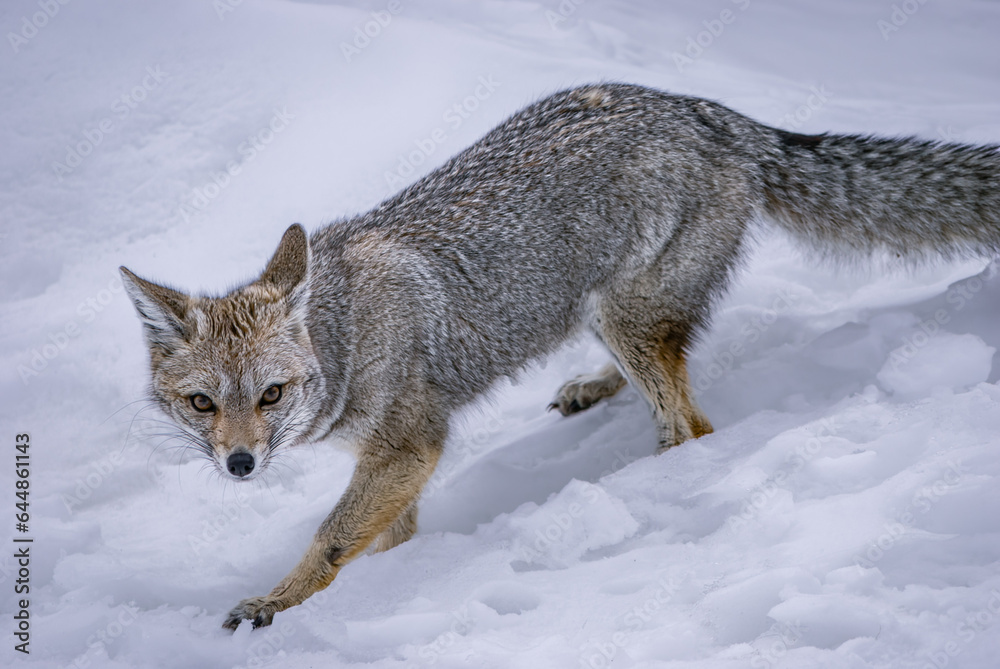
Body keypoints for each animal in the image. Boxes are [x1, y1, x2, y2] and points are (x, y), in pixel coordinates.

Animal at [120, 83, 1000, 630]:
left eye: (270, 394)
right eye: (203, 403)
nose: (238, 464)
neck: (346, 333)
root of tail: (710, 112)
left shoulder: (410, 443)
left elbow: (332, 538)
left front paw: (275, 604)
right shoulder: (392, 461)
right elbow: (385, 539)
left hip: (625, 317)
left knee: (693, 424)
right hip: (607, 313)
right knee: (672, 376)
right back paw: (593, 391)